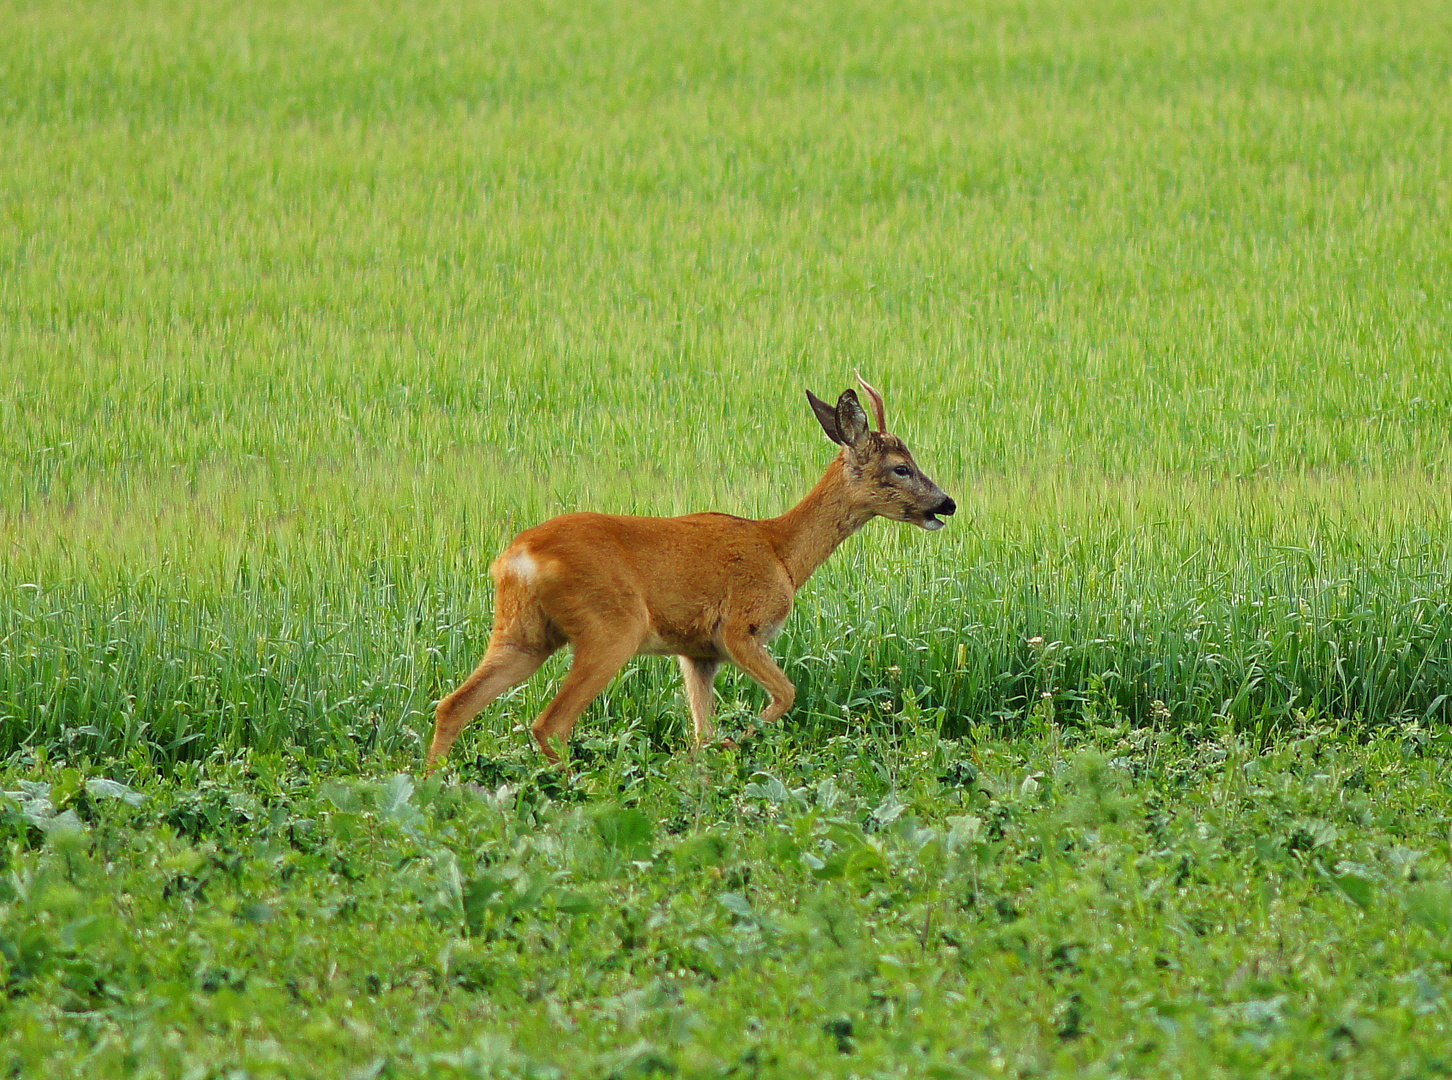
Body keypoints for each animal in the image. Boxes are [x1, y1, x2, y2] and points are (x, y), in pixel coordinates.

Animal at [423, 374, 958, 766]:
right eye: (901, 467)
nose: (946, 504)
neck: (782, 552)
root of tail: (514, 558)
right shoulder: (740, 627)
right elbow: (785, 696)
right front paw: (733, 745)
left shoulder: (697, 654)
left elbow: (702, 729)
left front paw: (703, 762)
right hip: (610, 626)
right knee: (549, 723)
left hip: (523, 632)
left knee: (452, 705)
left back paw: (437, 788)